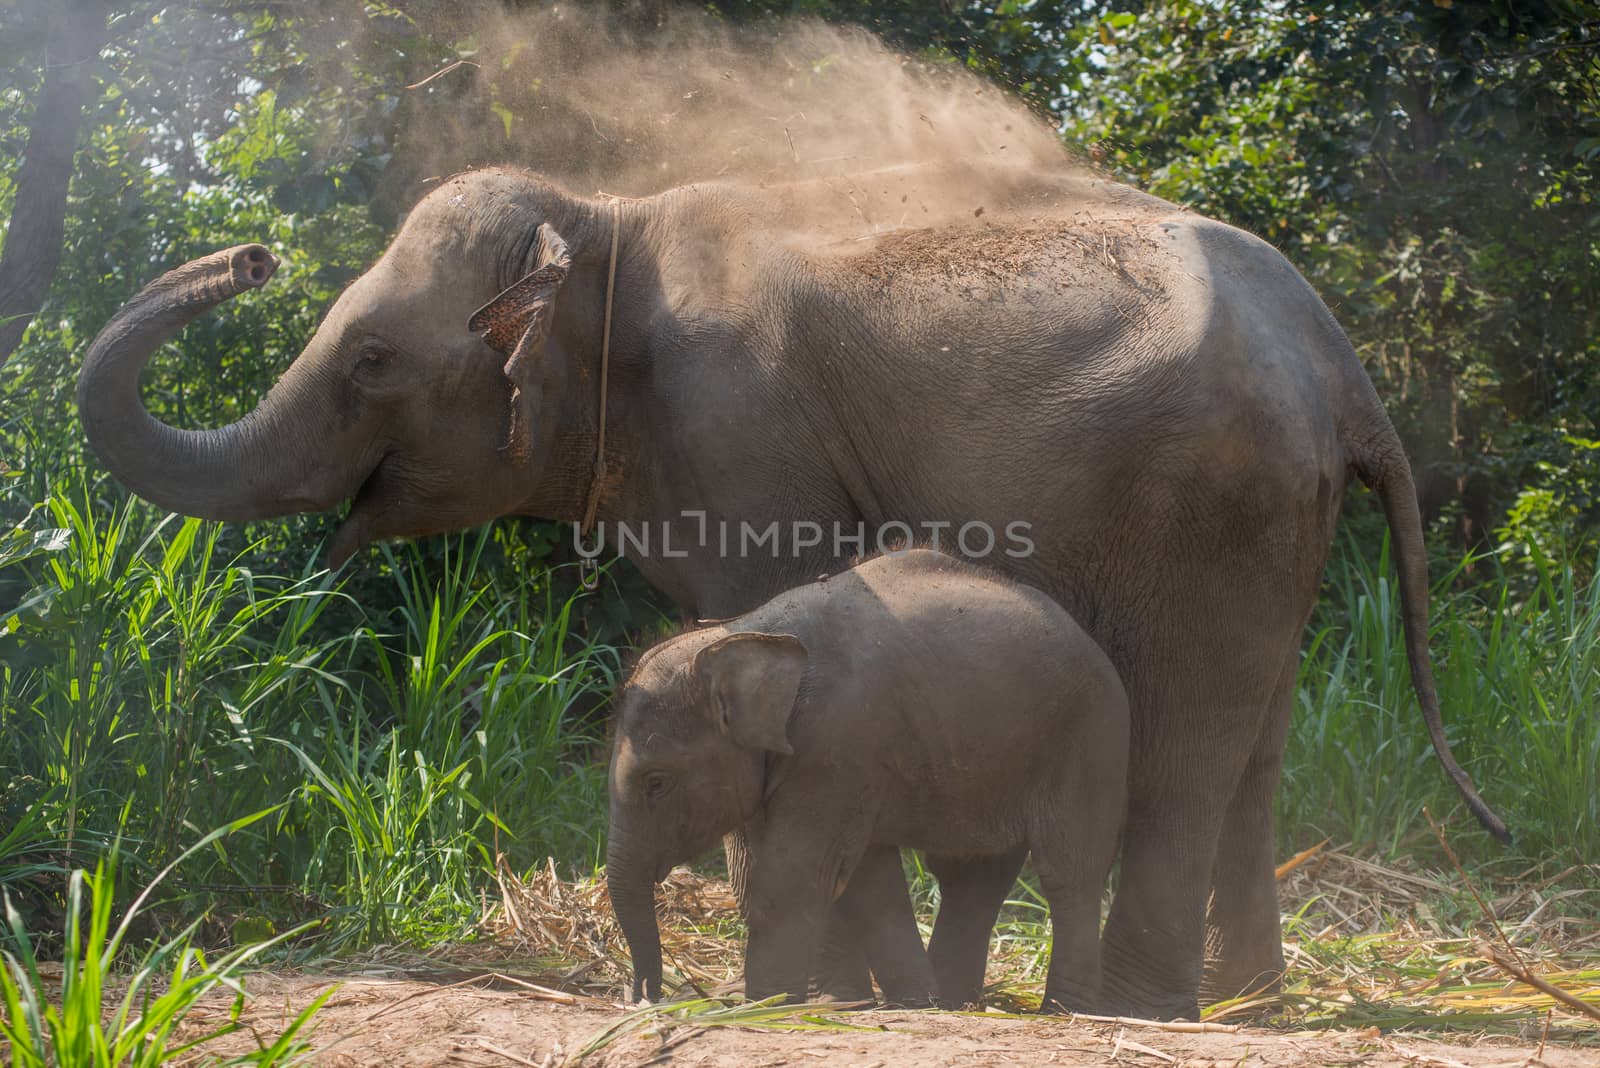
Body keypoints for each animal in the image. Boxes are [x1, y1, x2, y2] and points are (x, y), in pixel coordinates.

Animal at [604, 549, 1132, 1010]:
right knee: (972, 874)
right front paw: (902, 1003)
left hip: (1090, 737)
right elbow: (861, 880)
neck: (743, 633)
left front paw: (764, 1006)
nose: (644, 997)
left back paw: (1063, 1010)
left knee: (1068, 872)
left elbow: (795, 873)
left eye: (657, 782)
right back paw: (954, 1001)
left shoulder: (836, 742)